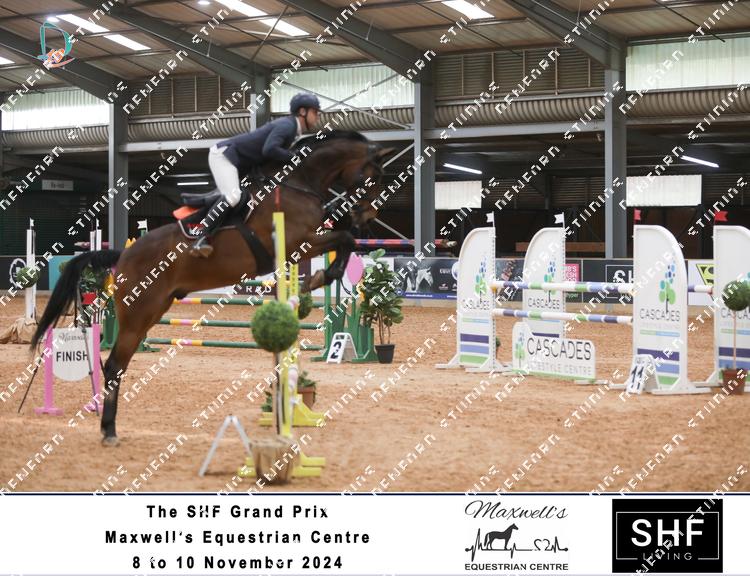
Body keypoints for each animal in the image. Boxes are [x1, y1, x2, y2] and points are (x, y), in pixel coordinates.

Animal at [31, 131, 393, 446]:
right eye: (373, 177)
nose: (367, 215)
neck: (298, 184)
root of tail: (124, 253)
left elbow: (345, 240)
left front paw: (321, 276)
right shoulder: (298, 242)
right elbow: (344, 239)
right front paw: (322, 276)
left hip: (152, 311)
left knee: (117, 363)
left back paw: (108, 427)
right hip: (137, 314)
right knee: (114, 366)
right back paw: (108, 430)